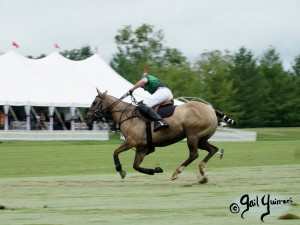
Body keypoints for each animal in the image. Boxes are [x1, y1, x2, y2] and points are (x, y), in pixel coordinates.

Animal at [84, 89, 234, 181]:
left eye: (95, 102)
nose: (86, 118)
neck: (126, 115)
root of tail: (211, 110)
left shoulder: (131, 142)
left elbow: (115, 152)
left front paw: (120, 170)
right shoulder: (142, 148)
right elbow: (136, 166)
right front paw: (155, 170)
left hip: (192, 136)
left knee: (194, 154)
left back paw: (177, 172)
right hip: (201, 139)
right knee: (213, 149)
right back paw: (202, 169)